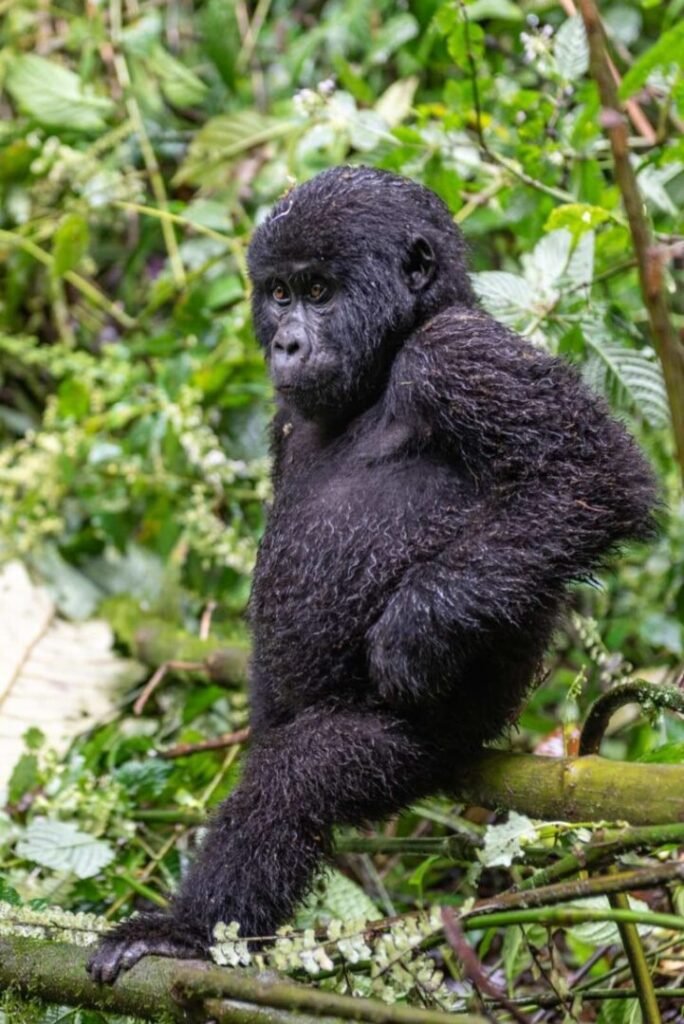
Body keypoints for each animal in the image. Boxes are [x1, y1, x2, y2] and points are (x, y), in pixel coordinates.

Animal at [88, 166, 657, 983]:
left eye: (321, 292)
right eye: (280, 293)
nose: (287, 342)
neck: (385, 362)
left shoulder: (458, 354)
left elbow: (594, 476)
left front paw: (416, 627)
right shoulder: (285, 419)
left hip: (428, 746)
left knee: (300, 777)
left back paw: (190, 931)